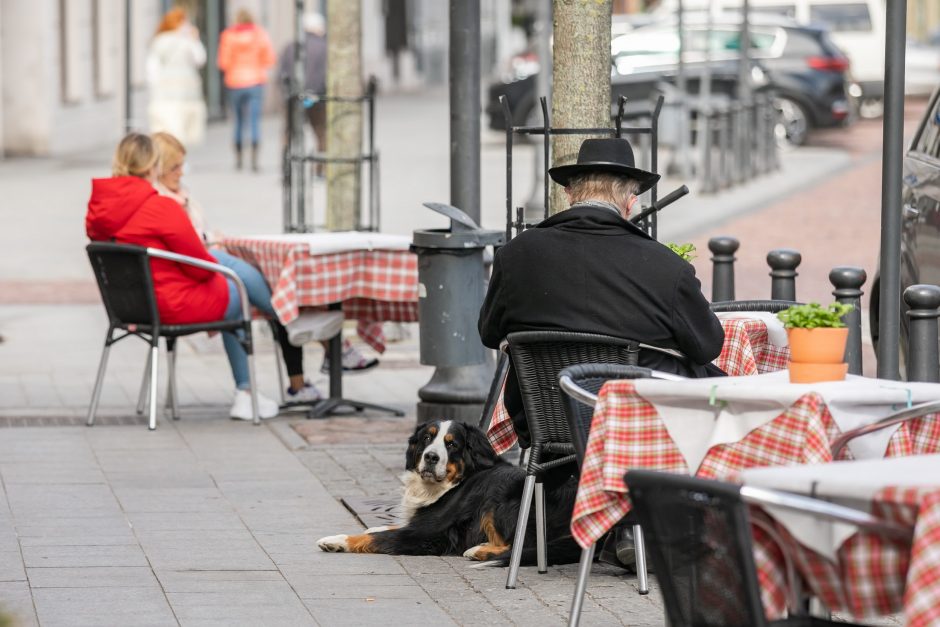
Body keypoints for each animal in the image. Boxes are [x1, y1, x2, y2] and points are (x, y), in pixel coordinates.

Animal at [316, 420, 580, 560]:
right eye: (426, 438)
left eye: (451, 444)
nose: (431, 457)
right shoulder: (417, 522)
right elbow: (385, 527)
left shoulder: (425, 534)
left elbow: (374, 537)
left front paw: (336, 540)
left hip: (501, 497)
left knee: (524, 545)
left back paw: (477, 550)